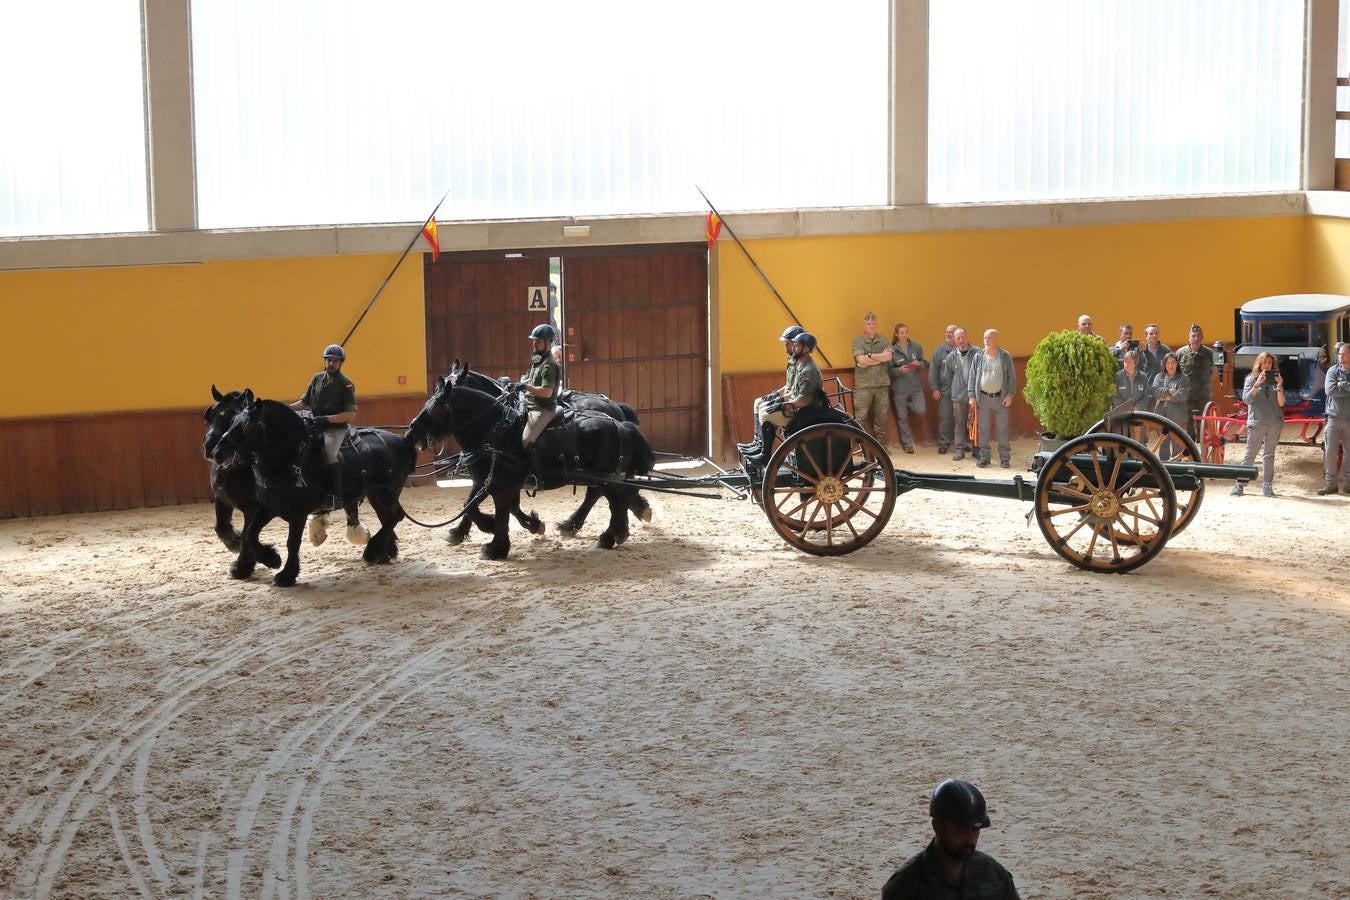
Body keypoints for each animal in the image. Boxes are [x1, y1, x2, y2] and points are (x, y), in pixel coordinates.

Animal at [214, 391, 415, 588]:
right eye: (232, 421)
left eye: (248, 426)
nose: (217, 453)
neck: (292, 460)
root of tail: (402, 441)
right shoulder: (267, 508)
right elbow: (250, 534)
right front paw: (272, 559)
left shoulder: (297, 514)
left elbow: (292, 543)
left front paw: (286, 575)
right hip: (377, 495)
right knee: (387, 518)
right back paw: (383, 552)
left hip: (386, 493)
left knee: (394, 517)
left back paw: (372, 551)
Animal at [405, 356, 653, 555]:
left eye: (438, 406)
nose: (411, 432)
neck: (497, 431)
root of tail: (619, 421)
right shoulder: (486, 481)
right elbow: (472, 505)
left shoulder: (501, 483)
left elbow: (500, 509)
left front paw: (496, 542)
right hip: (604, 476)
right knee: (613, 496)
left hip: (605, 476)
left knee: (611, 498)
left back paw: (607, 530)